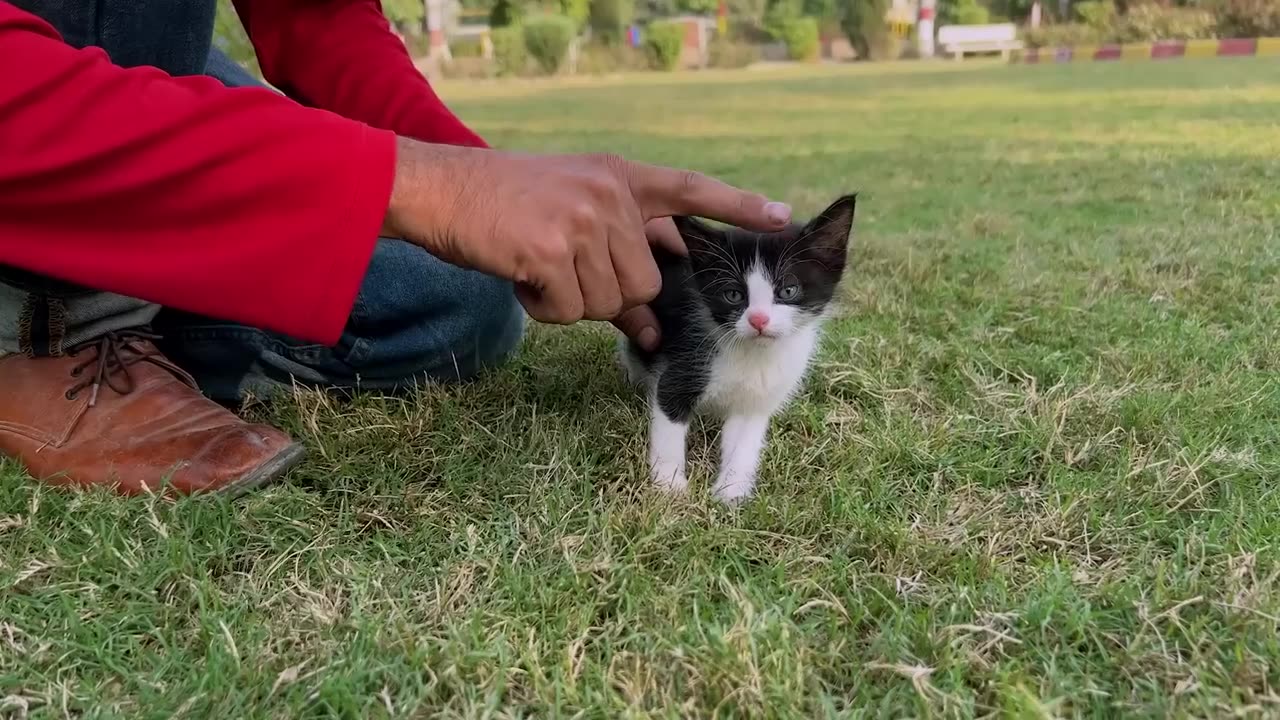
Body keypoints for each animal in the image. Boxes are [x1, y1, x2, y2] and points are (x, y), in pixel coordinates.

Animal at [619, 193, 860, 502]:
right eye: (733, 295)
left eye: (788, 290)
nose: (758, 319)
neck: (753, 353)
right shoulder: (685, 365)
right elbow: (668, 423)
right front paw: (669, 486)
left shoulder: (761, 394)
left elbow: (745, 440)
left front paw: (731, 491)